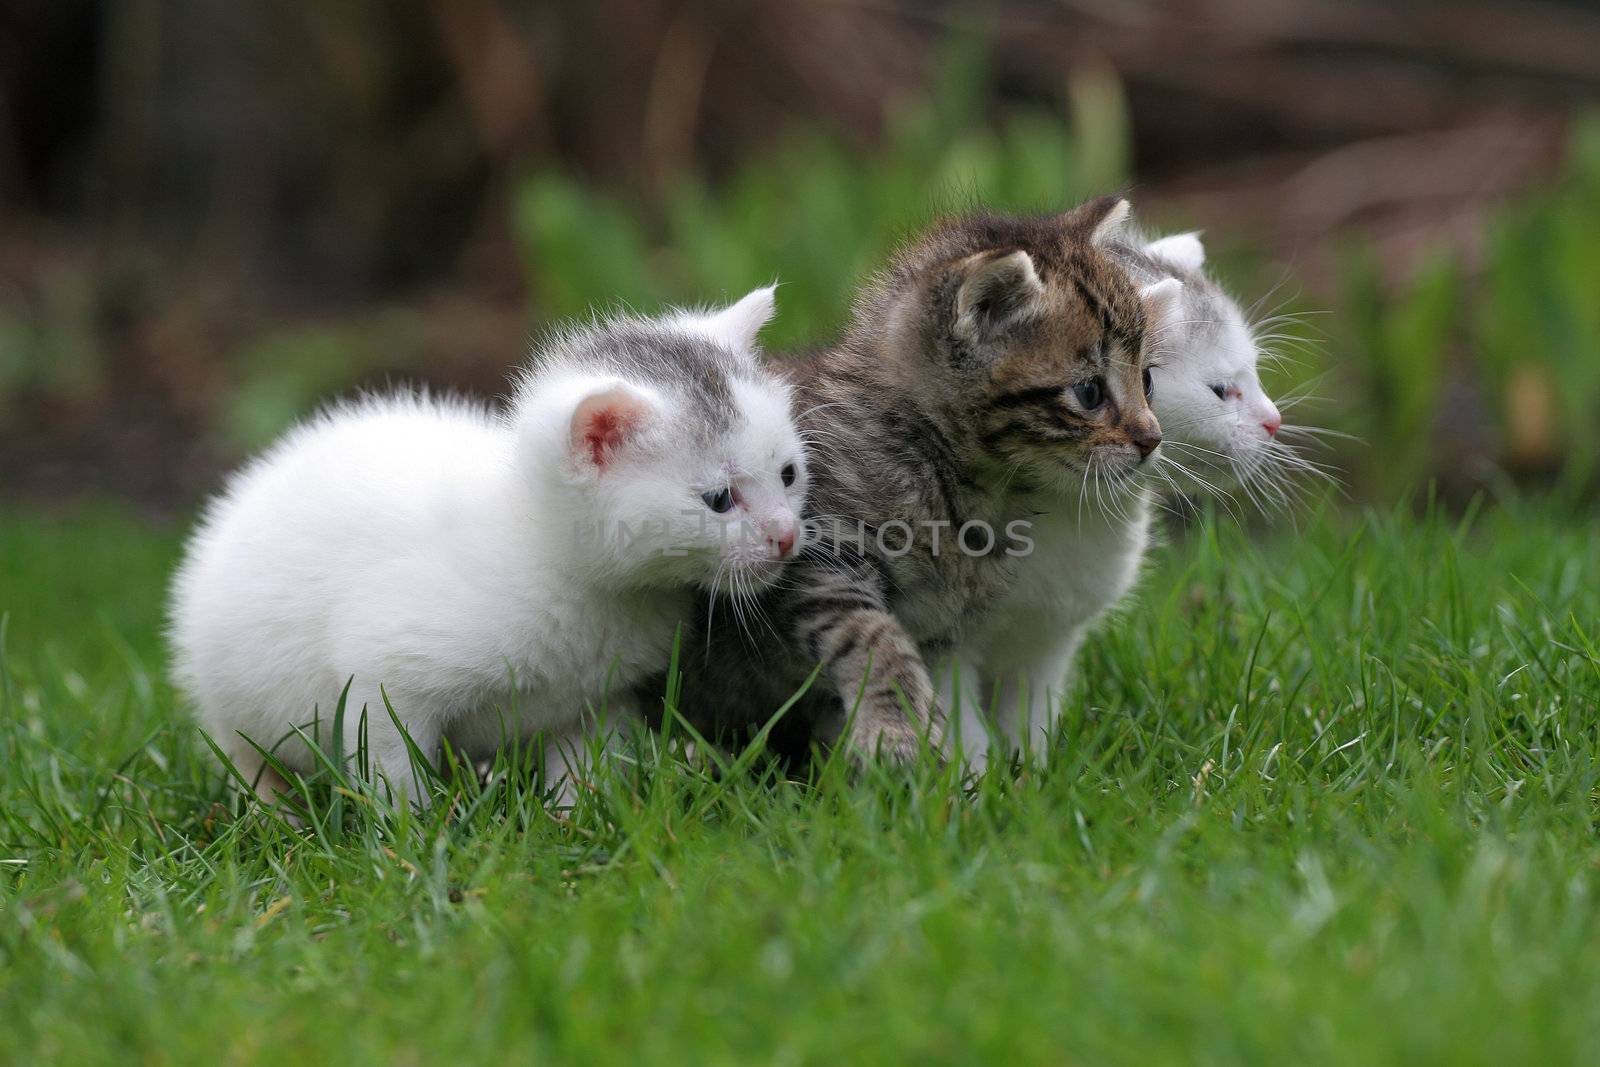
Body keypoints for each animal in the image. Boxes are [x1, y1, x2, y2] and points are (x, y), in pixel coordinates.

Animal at [168, 287, 806, 806]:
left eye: (789, 474)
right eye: (719, 500)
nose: (787, 536)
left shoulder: (597, 698)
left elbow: (586, 771)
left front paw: (575, 823)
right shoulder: (383, 676)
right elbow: (393, 769)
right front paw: (413, 836)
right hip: (230, 694)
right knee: (245, 754)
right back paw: (271, 809)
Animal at [662, 195, 1177, 764]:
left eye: (1146, 380)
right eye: (1088, 393)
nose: (1152, 439)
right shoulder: (812, 556)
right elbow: (869, 635)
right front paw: (898, 734)